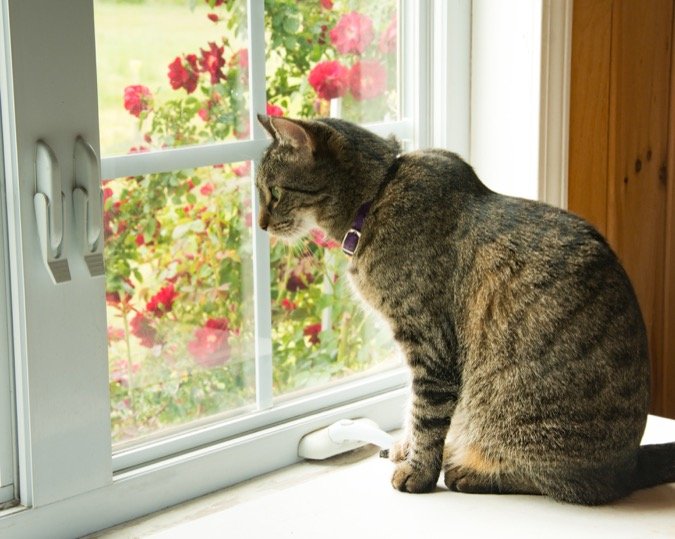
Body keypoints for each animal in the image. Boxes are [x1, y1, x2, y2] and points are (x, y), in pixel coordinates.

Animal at [255, 115, 675, 506]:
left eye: (273, 192)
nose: (259, 225)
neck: (378, 194)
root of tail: (629, 464)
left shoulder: (428, 343)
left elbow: (425, 412)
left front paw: (418, 470)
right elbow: (411, 408)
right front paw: (405, 446)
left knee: (562, 483)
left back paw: (470, 471)